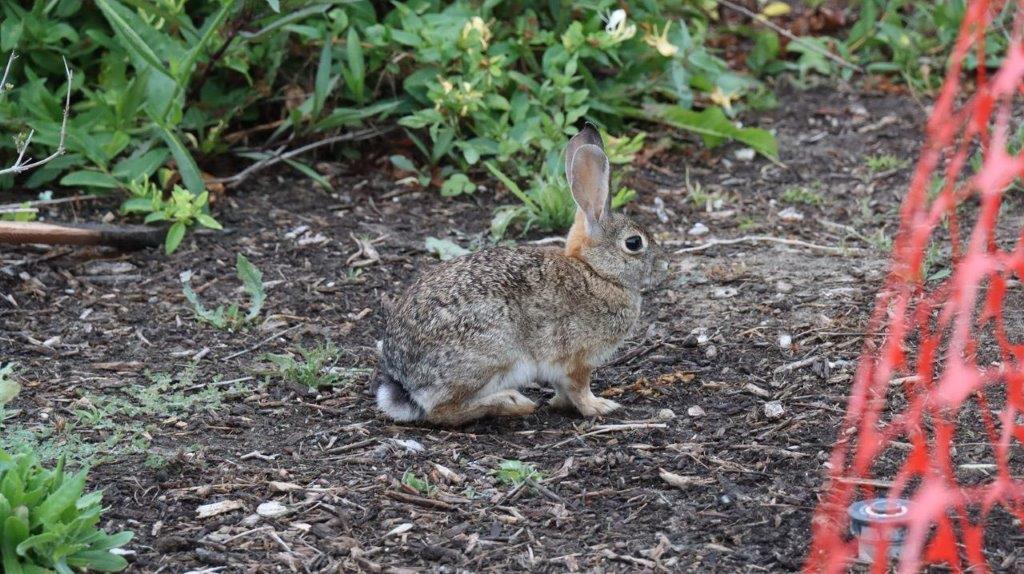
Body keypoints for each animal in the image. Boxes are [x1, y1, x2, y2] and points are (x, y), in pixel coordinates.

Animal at [374, 121, 663, 425]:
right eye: (634, 243)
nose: (664, 265)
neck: (595, 272)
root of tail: (406, 380)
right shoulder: (578, 358)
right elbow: (579, 387)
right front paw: (599, 407)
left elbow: (563, 390)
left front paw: (560, 404)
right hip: (491, 355)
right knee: (441, 412)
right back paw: (513, 402)